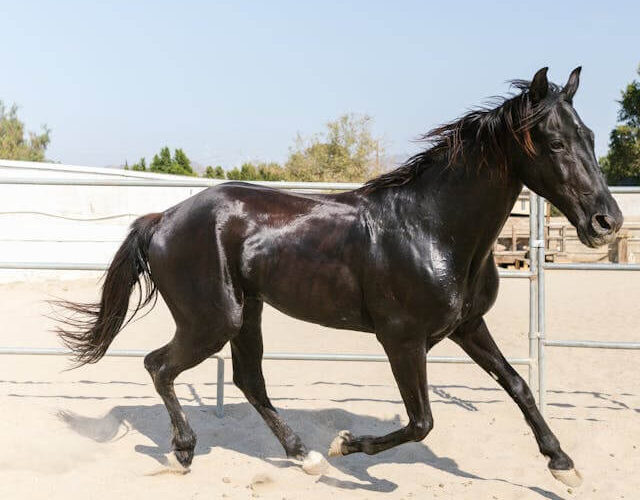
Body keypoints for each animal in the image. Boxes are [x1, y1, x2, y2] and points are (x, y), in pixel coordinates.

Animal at [58, 66, 620, 484]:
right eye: (553, 143)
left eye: (590, 137)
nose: (607, 222)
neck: (432, 228)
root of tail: (162, 219)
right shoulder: (402, 340)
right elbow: (422, 421)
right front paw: (347, 444)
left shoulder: (467, 326)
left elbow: (518, 385)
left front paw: (562, 464)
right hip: (212, 321)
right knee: (160, 366)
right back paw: (186, 451)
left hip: (246, 314)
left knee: (248, 380)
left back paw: (303, 456)